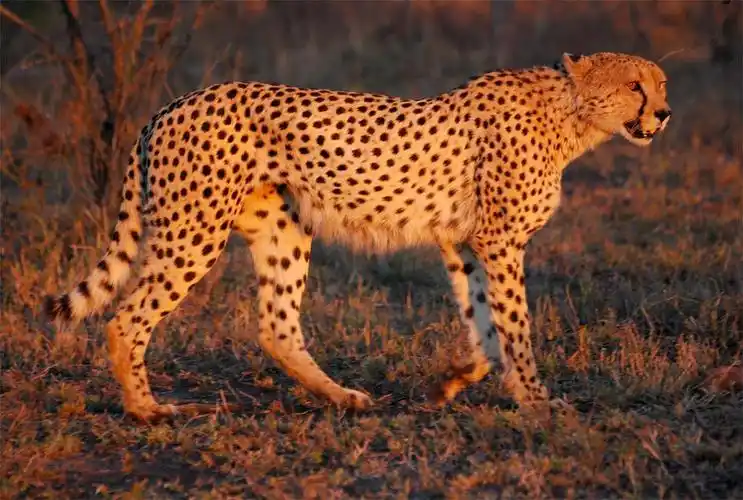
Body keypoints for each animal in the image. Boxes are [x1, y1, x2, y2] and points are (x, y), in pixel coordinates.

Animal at [44, 52, 671, 423]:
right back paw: (146, 409)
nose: (663, 114)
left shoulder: (463, 244)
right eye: (633, 85)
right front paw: (538, 401)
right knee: (126, 319)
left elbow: (485, 325)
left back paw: (342, 397)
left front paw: (455, 381)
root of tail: (170, 105)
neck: (572, 115)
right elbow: (515, 327)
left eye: (661, 85)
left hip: (284, 230)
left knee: (276, 327)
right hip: (193, 232)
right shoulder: (498, 242)